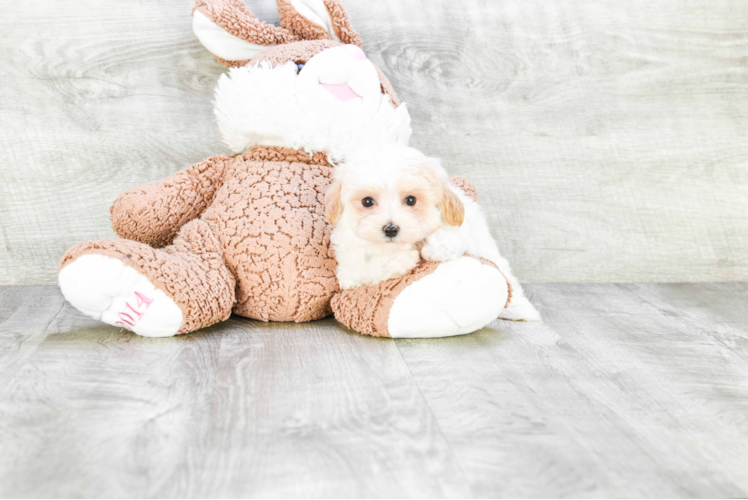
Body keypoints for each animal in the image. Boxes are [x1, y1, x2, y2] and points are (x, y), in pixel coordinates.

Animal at [326, 145, 464, 290]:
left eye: (411, 200)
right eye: (367, 201)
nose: (391, 230)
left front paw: (436, 247)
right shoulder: (349, 264)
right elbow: (365, 270)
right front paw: (403, 259)